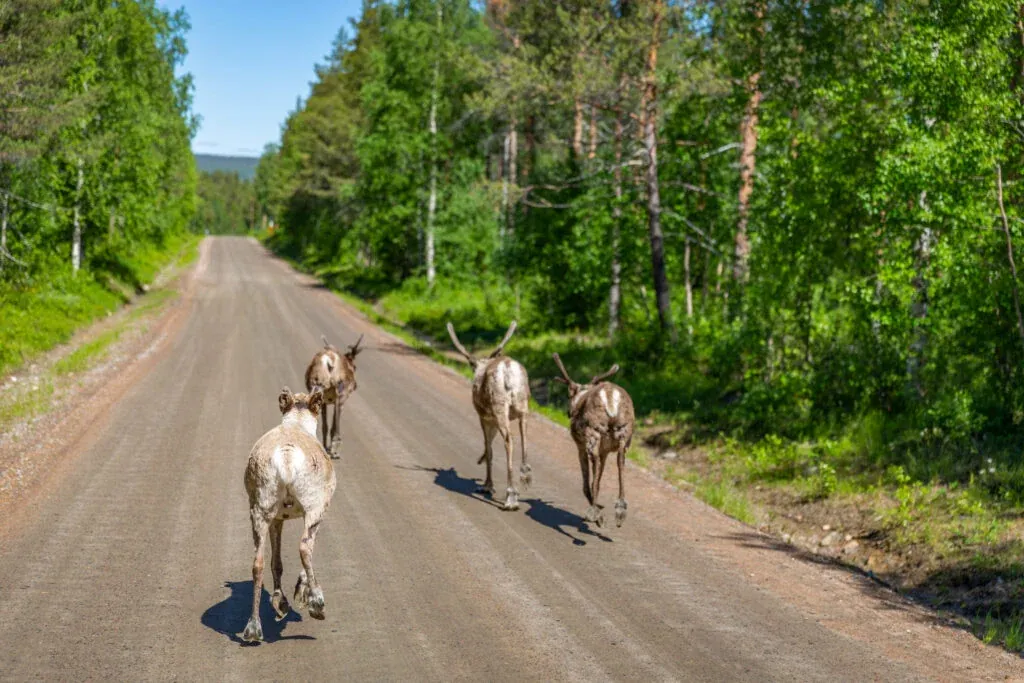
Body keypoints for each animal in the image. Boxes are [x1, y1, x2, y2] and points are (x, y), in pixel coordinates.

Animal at [241, 386, 337, 644]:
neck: (296, 423)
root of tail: (286, 456)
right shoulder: (315, 510)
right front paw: (300, 593)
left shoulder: (277, 519)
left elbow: (277, 562)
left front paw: (280, 602)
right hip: (314, 508)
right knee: (304, 546)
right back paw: (317, 604)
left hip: (260, 511)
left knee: (258, 563)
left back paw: (253, 629)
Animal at [447, 320, 532, 511]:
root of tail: (508, 370)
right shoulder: (492, 419)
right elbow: (489, 447)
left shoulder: (484, 417)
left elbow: (489, 448)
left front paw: (487, 485)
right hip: (523, 405)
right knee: (524, 437)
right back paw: (525, 476)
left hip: (499, 407)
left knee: (509, 440)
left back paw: (511, 497)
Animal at [552, 353, 635, 528]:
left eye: (568, 395)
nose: (568, 412)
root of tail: (610, 398)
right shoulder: (605, 450)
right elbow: (599, 477)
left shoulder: (580, 446)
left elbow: (587, 481)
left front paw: (596, 506)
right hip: (625, 433)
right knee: (620, 461)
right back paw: (620, 510)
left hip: (593, 432)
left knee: (595, 461)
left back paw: (595, 513)